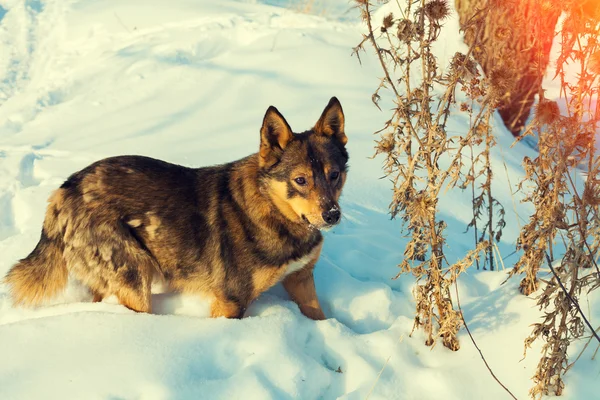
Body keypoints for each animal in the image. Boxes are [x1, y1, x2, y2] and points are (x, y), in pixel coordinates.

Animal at [2, 96, 350, 318]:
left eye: (334, 175)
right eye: (300, 180)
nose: (332, 215)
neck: (274, 212)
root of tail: (65, 189)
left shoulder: (301, 280)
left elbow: (320, 317)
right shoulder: (231, 302)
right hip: (135, 279)